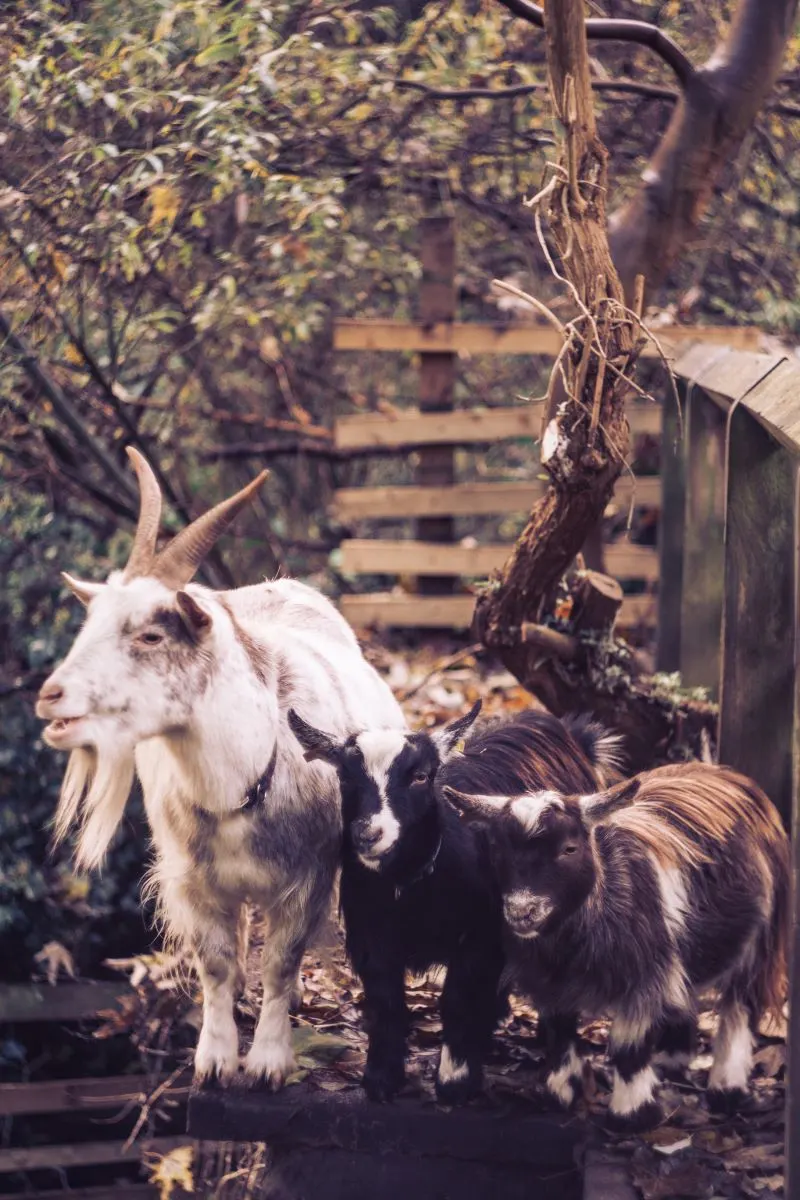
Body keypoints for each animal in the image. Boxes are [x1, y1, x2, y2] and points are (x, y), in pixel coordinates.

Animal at [35, 449, 405, 1087]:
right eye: (89, 623)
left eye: (152, 634)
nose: (52, 698)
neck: (243, 781)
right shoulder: (191, 882)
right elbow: (216, 963)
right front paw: (214, 1058)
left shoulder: (308, 877)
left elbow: (281, 961)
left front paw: (268, 1062)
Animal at [288, 702, 621, 1104]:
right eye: (346, 777)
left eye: (420, 776)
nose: (368, 834)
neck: (412, 885)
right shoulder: (371, 937)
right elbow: (386, 1001)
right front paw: (381, 1078)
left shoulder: (480, 936)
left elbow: (457, 998)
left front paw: (455, 1080)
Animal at [444, 762, 789, 1130]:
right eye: (497, 849)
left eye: (569, 848)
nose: (522, 912)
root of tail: (729, 775)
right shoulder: (549, 982)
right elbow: (559, 1031)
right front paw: (562, 1092)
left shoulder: (642, 980)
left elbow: (628, 1048)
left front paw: (631, 1115)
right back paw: (672, 1057)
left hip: (761, 939)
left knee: (741, 1006)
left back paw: (727, 1089)